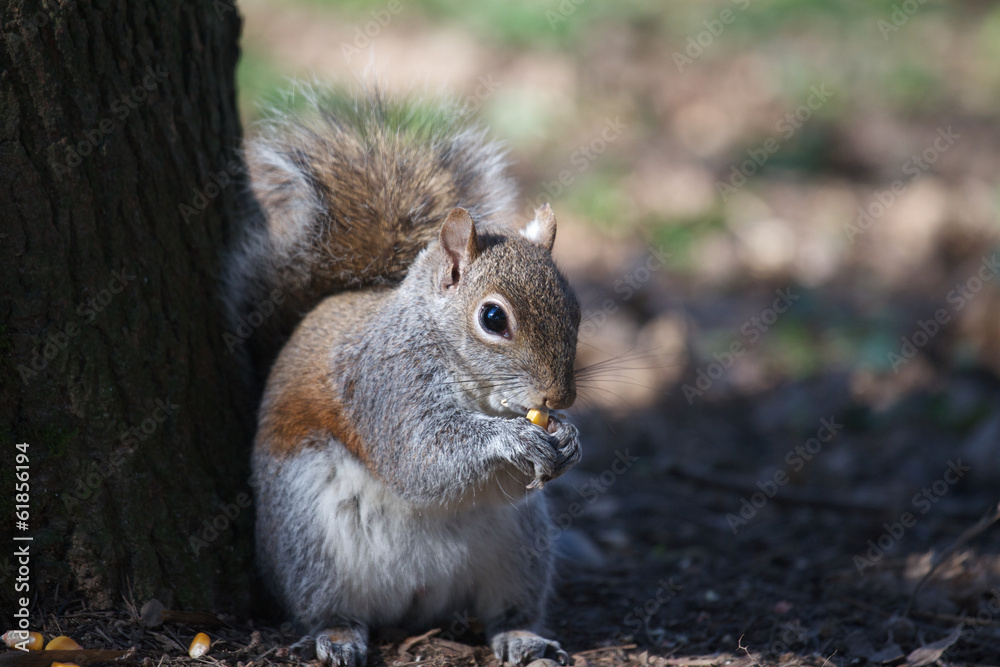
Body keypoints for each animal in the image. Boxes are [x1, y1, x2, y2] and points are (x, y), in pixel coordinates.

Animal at [226, 89, 583, 666]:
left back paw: (521, 636)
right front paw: (512, 439)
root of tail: (415, 601)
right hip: (309, 544)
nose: (561, 396)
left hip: (521, 549)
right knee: (327, 606)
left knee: (506, 610)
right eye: (493, 318)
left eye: (576, 310)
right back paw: (337, 636)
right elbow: (418, 458)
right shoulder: (382, 384)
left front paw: (570, 439)